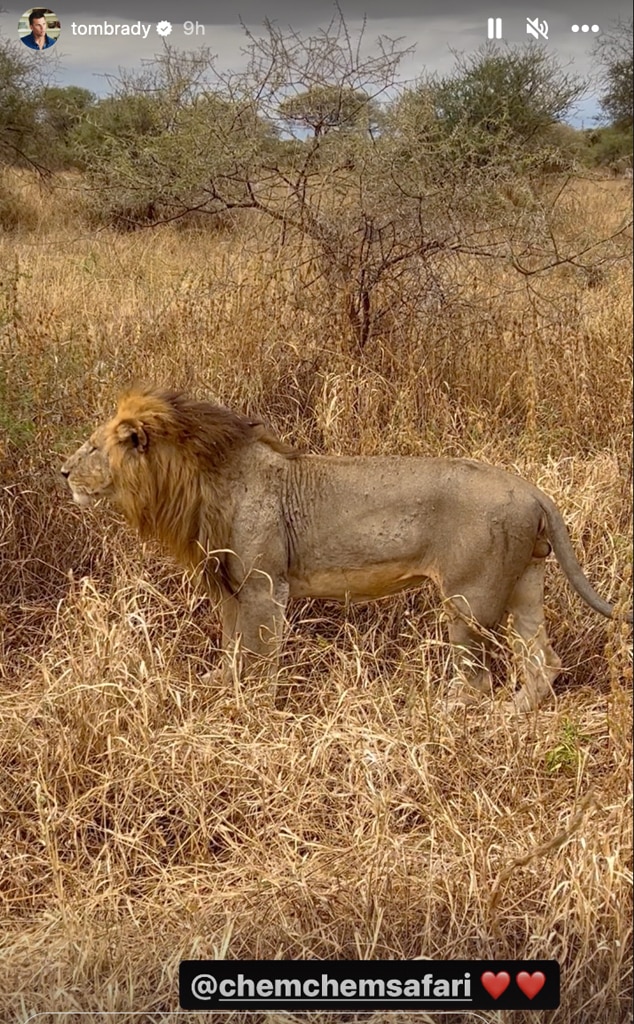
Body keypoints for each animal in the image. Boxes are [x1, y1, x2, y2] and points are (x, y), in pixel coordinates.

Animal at [63, 385, 630, 712]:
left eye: (92, 447)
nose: (63, 471)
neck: (198, 482)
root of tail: (534, 491)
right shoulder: (228, 589)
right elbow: (230, 651)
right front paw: (220, 691)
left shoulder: (265, 588)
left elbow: (259, 659)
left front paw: (250, 714)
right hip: (525, 586)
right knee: (544, 662)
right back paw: (512, 719)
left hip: (469, 601)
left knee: (478, 680)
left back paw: (448, 718)